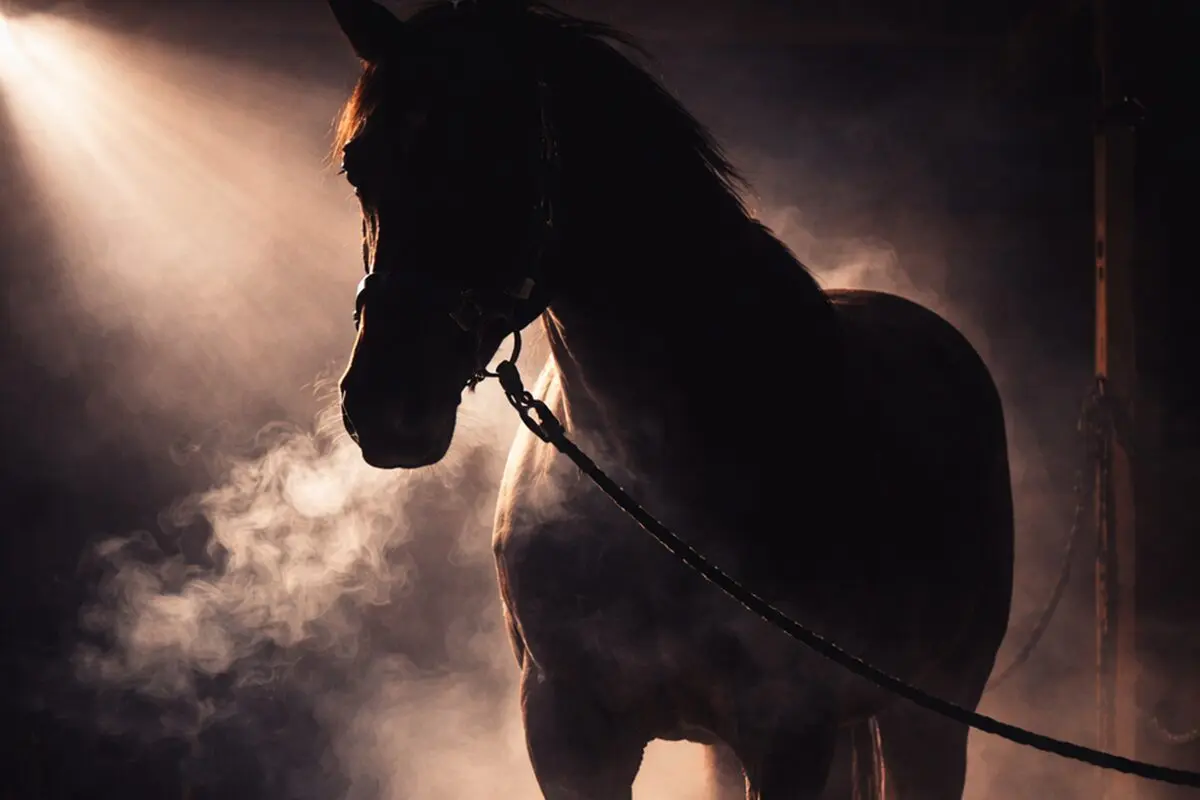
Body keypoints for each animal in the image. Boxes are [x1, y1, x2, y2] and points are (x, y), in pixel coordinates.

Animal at [328, 1, 1015, 797]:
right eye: (357, 168)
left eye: (497, 159)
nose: (385, 406)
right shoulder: (567, 736)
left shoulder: (786, 732)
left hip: (928, 715)